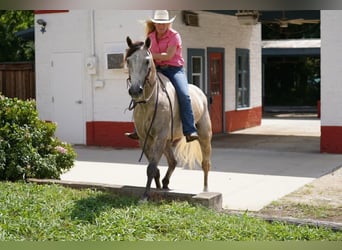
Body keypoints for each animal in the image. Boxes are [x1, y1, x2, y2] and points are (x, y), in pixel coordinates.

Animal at [125, 36, 211, 199]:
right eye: (128, 61)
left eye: (147, 61)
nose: (135, 90)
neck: (149, 102)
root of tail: (200, 93)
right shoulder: (144, 138)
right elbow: (154, 167)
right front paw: (156, 188)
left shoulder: (159, 136)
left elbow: (151, 167)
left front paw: (145, 196)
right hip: (166, 141)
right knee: (173, 161)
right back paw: (164, 183)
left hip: (204, 135)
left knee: (205, 164)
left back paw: (205, 190)